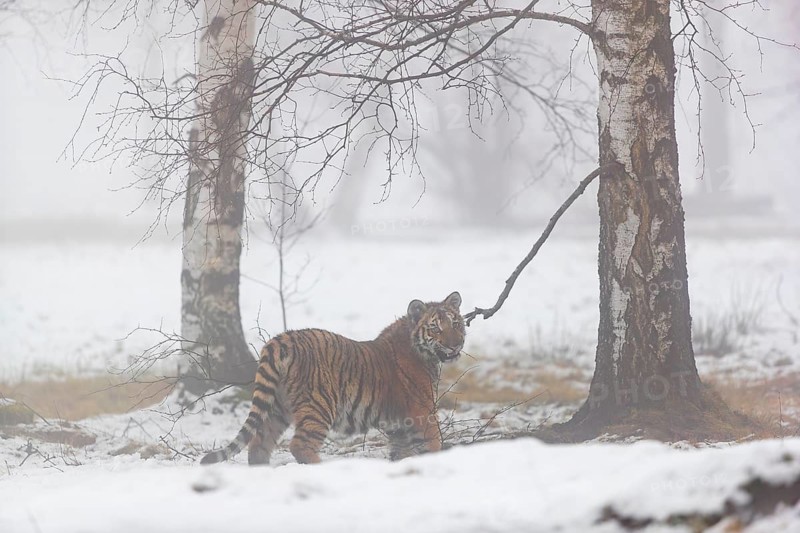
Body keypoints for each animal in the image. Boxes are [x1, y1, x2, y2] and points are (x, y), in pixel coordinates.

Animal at [200, 291, 466, 465]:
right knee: (300, 445)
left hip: (277, 407)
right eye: (435, 327)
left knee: (258, 444)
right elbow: (433, 443)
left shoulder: (399, 426)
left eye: (455, 323)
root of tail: (283, 339)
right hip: (319, 405)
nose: (455, 345)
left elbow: (402, 453)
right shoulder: (423, 412)